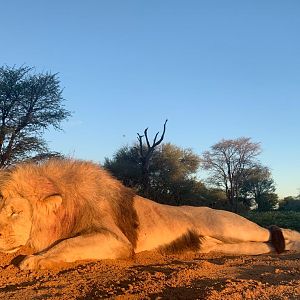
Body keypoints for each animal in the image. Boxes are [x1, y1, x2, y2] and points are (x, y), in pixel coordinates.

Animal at [0, 159, 298, 270]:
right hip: (219, 241)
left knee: (269, 232)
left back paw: (293, 241)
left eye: (15, 212)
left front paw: (32, 260)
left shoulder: (117, 240)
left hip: (227, 224)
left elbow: (67, 245)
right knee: (259, 245)